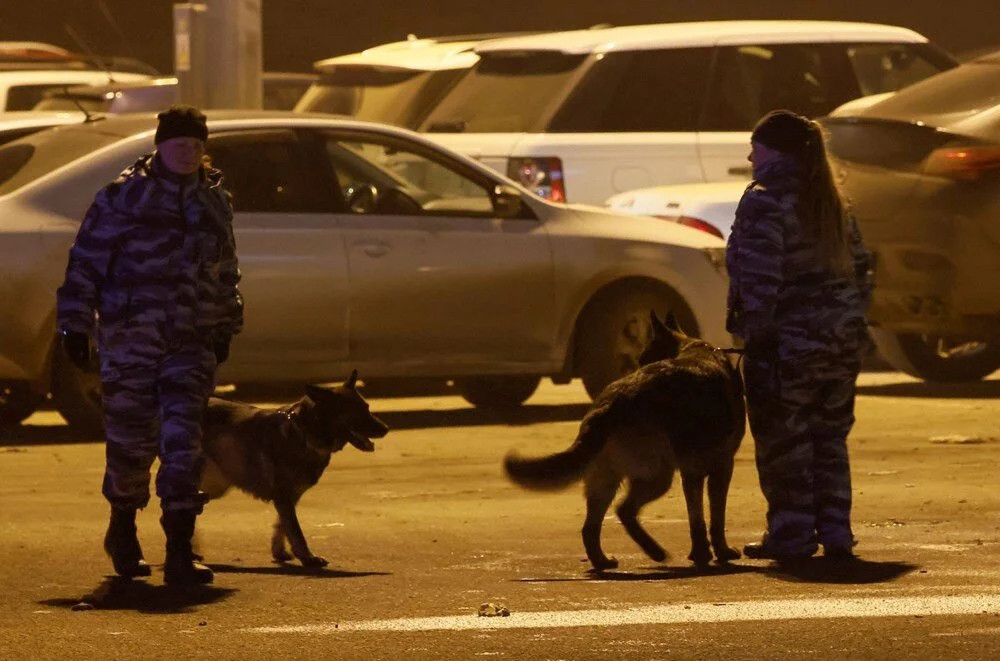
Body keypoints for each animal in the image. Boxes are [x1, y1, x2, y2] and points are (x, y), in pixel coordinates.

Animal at [197, 372, 388, 568]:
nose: (386, 429)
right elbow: (296, 531)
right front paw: (307, 557)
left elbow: (283, 526)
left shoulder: (290, 497)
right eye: (355, 411)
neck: (304, 432)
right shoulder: (283, 497)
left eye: (367, 407)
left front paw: (279, 551)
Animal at [504, 312, 748, 568]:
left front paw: (700, 553)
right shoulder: (720, 467)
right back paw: (655, 552)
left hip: (605, 482)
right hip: (658, 476)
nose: (636, 367)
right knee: (624, 510)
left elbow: (697, 518)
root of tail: (611, 403)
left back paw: (602, 561)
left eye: (644, 358)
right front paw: (719, 552)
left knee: (590, 528)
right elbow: (714, 517)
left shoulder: (692, 472)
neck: (692, 348)